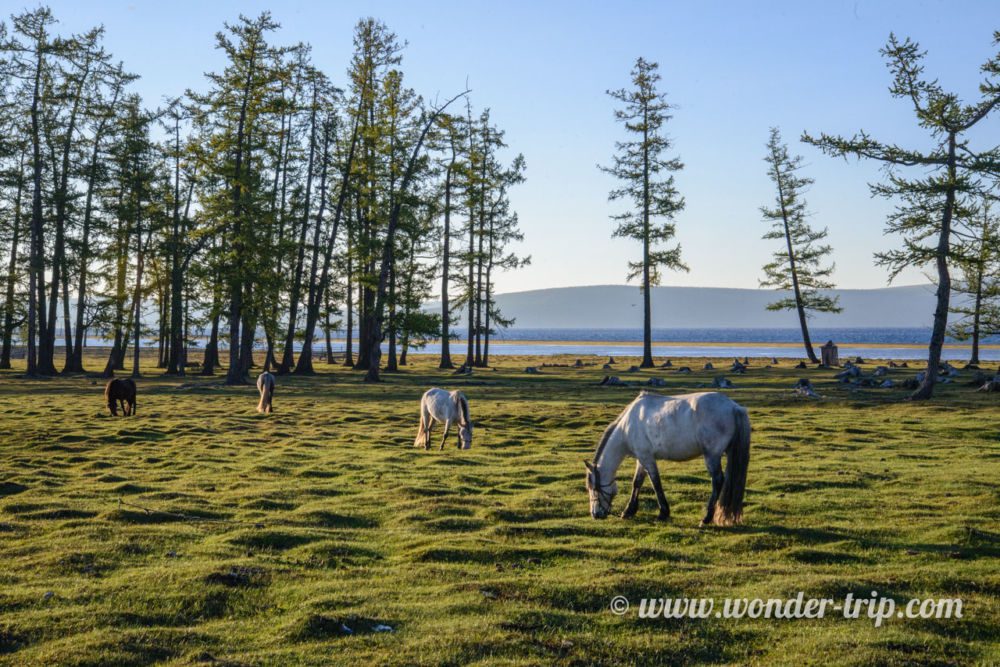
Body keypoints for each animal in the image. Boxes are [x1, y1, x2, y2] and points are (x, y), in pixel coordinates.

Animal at [584, 391, 750, 526]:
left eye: (593, 488)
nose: (595, 514)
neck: (627, 426)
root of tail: (734, 407)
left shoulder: (647, 458)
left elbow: (656, 483)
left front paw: (663, 513)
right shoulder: (642, 457)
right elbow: (637, 482)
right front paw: (629, 511)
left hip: (712, 456)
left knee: (718, 481)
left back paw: (706, 518)